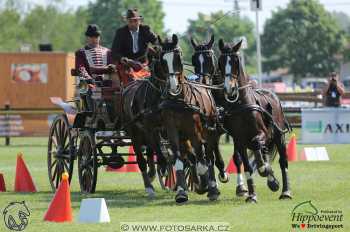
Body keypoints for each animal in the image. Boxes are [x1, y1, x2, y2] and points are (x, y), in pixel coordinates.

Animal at [157, 34, 220, 203]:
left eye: (178, 58)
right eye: (162, 60)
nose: (173, 86)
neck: (179, 100)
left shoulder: (195, 131)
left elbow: (202, 159)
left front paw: (206, 185)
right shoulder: (172, 131)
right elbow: (179, 160)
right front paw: (181, 192)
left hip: (208, 131)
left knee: (207, 156)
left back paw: (211, 187)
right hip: (184, 138)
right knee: (191, 157)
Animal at [190, 34, 250, 197]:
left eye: (210, 59)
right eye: (194, 60)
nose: (203, 83)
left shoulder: (235, 131)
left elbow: (237, 157)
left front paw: (241, 187)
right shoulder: (209, 131)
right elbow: (210, 158)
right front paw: (213, 187)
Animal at [216, 39, 292, 202]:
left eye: (236, 61)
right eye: (221, 62)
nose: (229, 89)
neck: (241, 105)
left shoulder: (262, 134)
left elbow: (258, 148)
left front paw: (266, 171)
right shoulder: (239, 140)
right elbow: (247, 166)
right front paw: (252, 195)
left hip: (279, 136)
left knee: (283, 161)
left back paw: (285, 191)